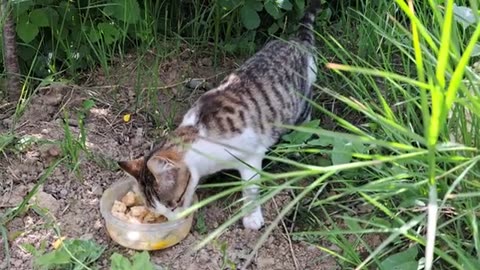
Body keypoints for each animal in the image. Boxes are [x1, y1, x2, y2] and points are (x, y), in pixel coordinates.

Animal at [116, 0, 320, 230]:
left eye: (175, 202)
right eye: (157, 210)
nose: (173, 221)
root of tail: (297, 41)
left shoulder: (251, 154)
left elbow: (250, 188)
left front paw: (251, 217)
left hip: (302, 104)